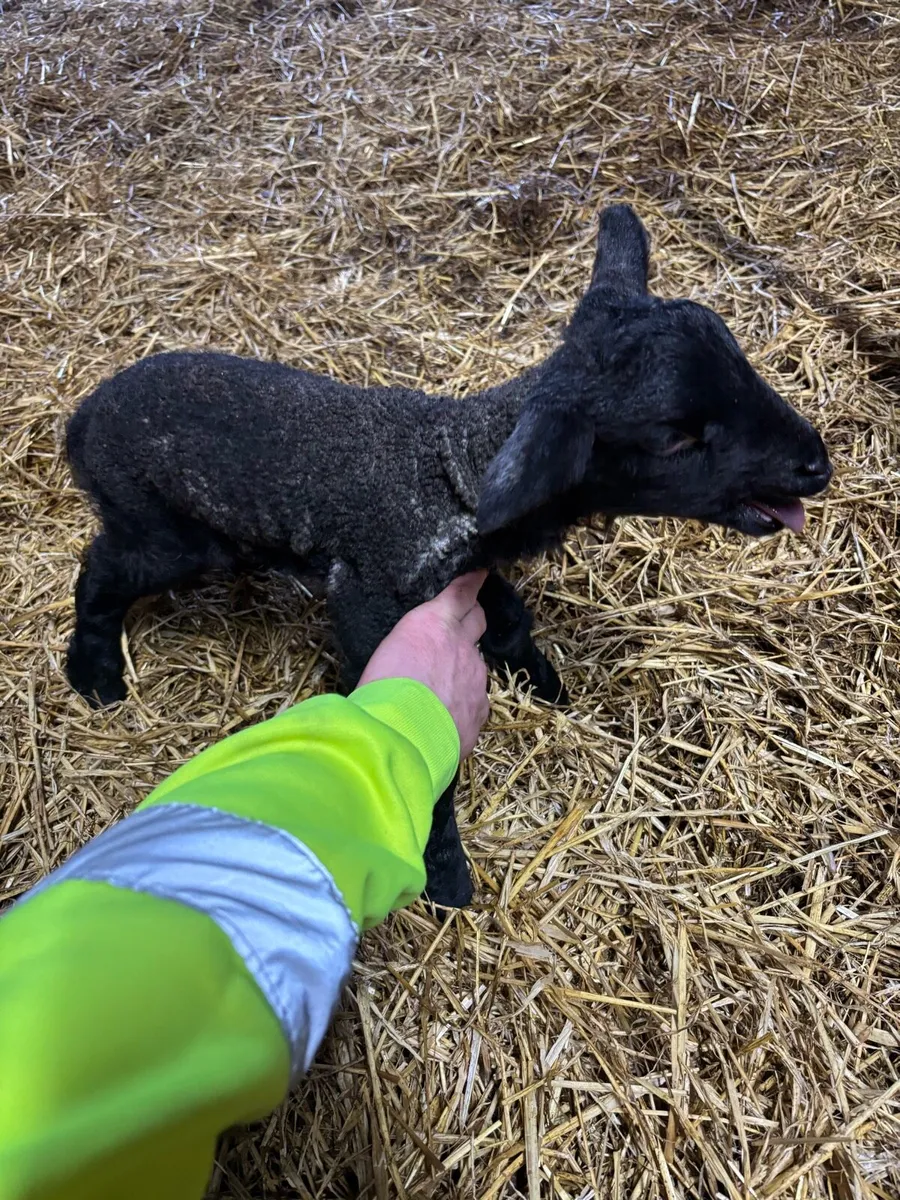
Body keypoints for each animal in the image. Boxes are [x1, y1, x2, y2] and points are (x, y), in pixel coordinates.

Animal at [64, 205, 832, 908]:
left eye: (744, 365)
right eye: (676, 437)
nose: (815, 466)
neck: (451, 470)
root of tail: (81, 418)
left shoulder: (468, 572)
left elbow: (512, 622)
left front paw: (547, 687)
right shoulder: (367, 595)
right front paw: (444, 869)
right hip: (169, 531)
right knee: (100, 567)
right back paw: (94, 674)